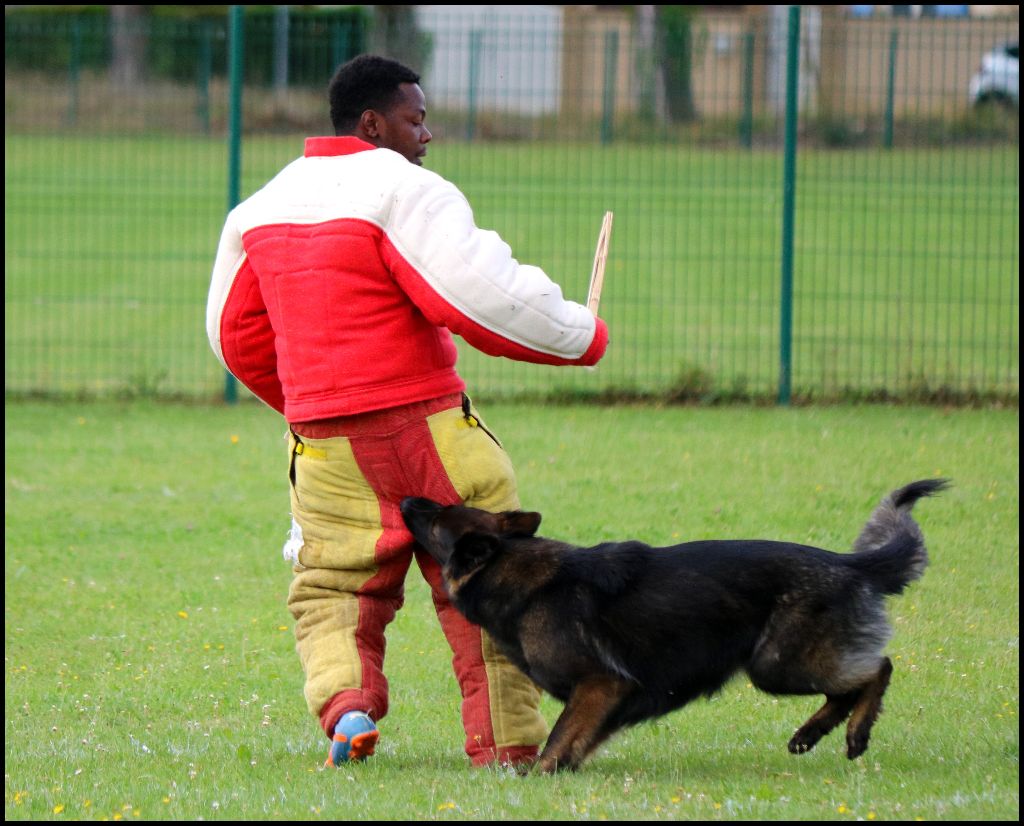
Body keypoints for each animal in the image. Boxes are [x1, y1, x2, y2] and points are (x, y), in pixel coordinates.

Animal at [403, 479, 946, 773]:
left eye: (437, 519)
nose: (407, 501)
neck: (514, 570)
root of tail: (849, 563)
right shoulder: (607, 699)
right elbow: (578, 739)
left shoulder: (602, 683)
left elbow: (558, 737)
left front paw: (537, 776)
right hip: (782, 664)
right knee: (846, 686)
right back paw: (810, 735)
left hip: (777, 665)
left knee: (878, 669)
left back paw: (856, 733)